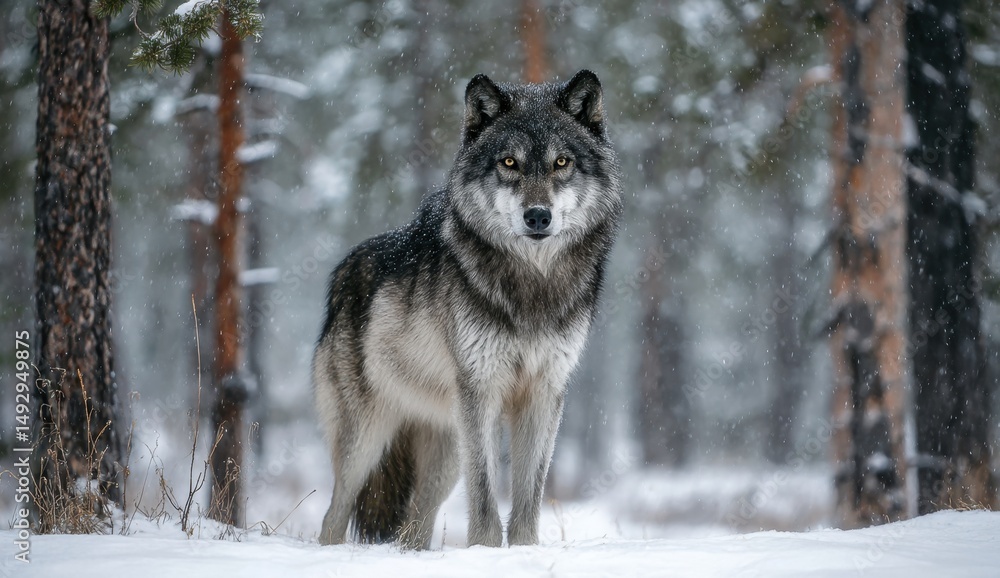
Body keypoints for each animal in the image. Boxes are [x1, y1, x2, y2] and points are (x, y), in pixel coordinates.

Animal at [313, 69, 623, 549]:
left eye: (561, 163)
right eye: (509, 163)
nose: (538, 216)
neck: (532, 284)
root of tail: (343, 274)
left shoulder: (545, 392)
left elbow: (530, 492)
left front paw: (525, 550)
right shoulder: (482, 390)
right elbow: (484, 491)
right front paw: (484, 549)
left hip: (443, 454)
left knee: (414, 524)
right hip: (367, 439)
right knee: (333, 515)